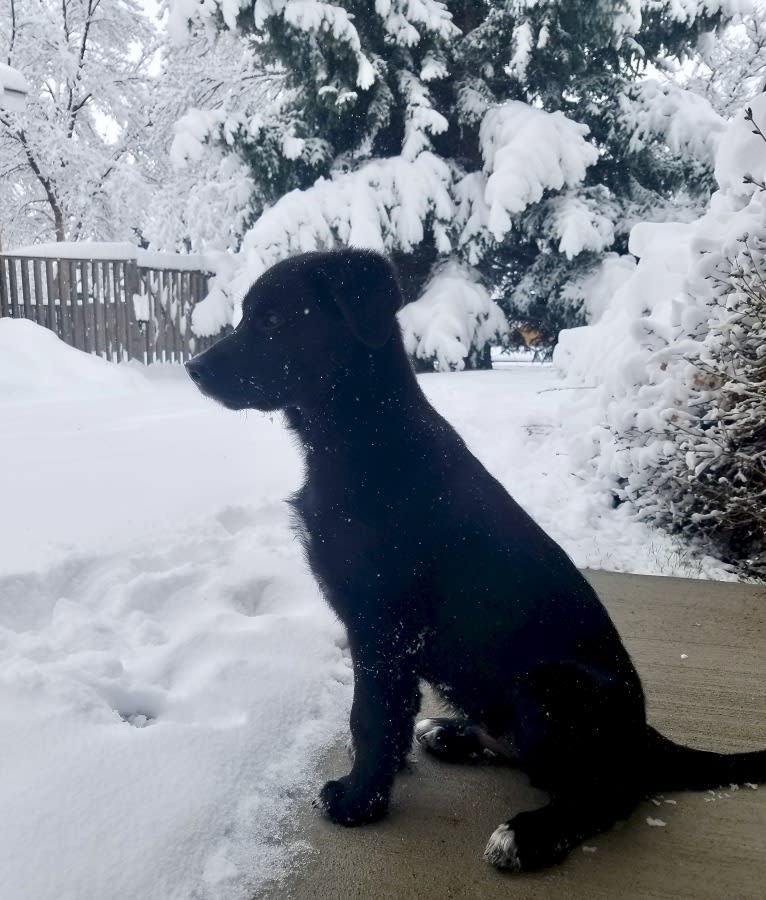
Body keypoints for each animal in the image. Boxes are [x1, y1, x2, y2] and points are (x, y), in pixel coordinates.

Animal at [188, 250, 766, 868]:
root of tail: (644, 736)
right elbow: (388, 716)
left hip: (551, 686)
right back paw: (451, 733)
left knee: (608, 790)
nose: (193, 369)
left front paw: (359, 801)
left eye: (273, 320)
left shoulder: (382, 626)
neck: (364, 439)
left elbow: (369, 717)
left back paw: (529, 834)